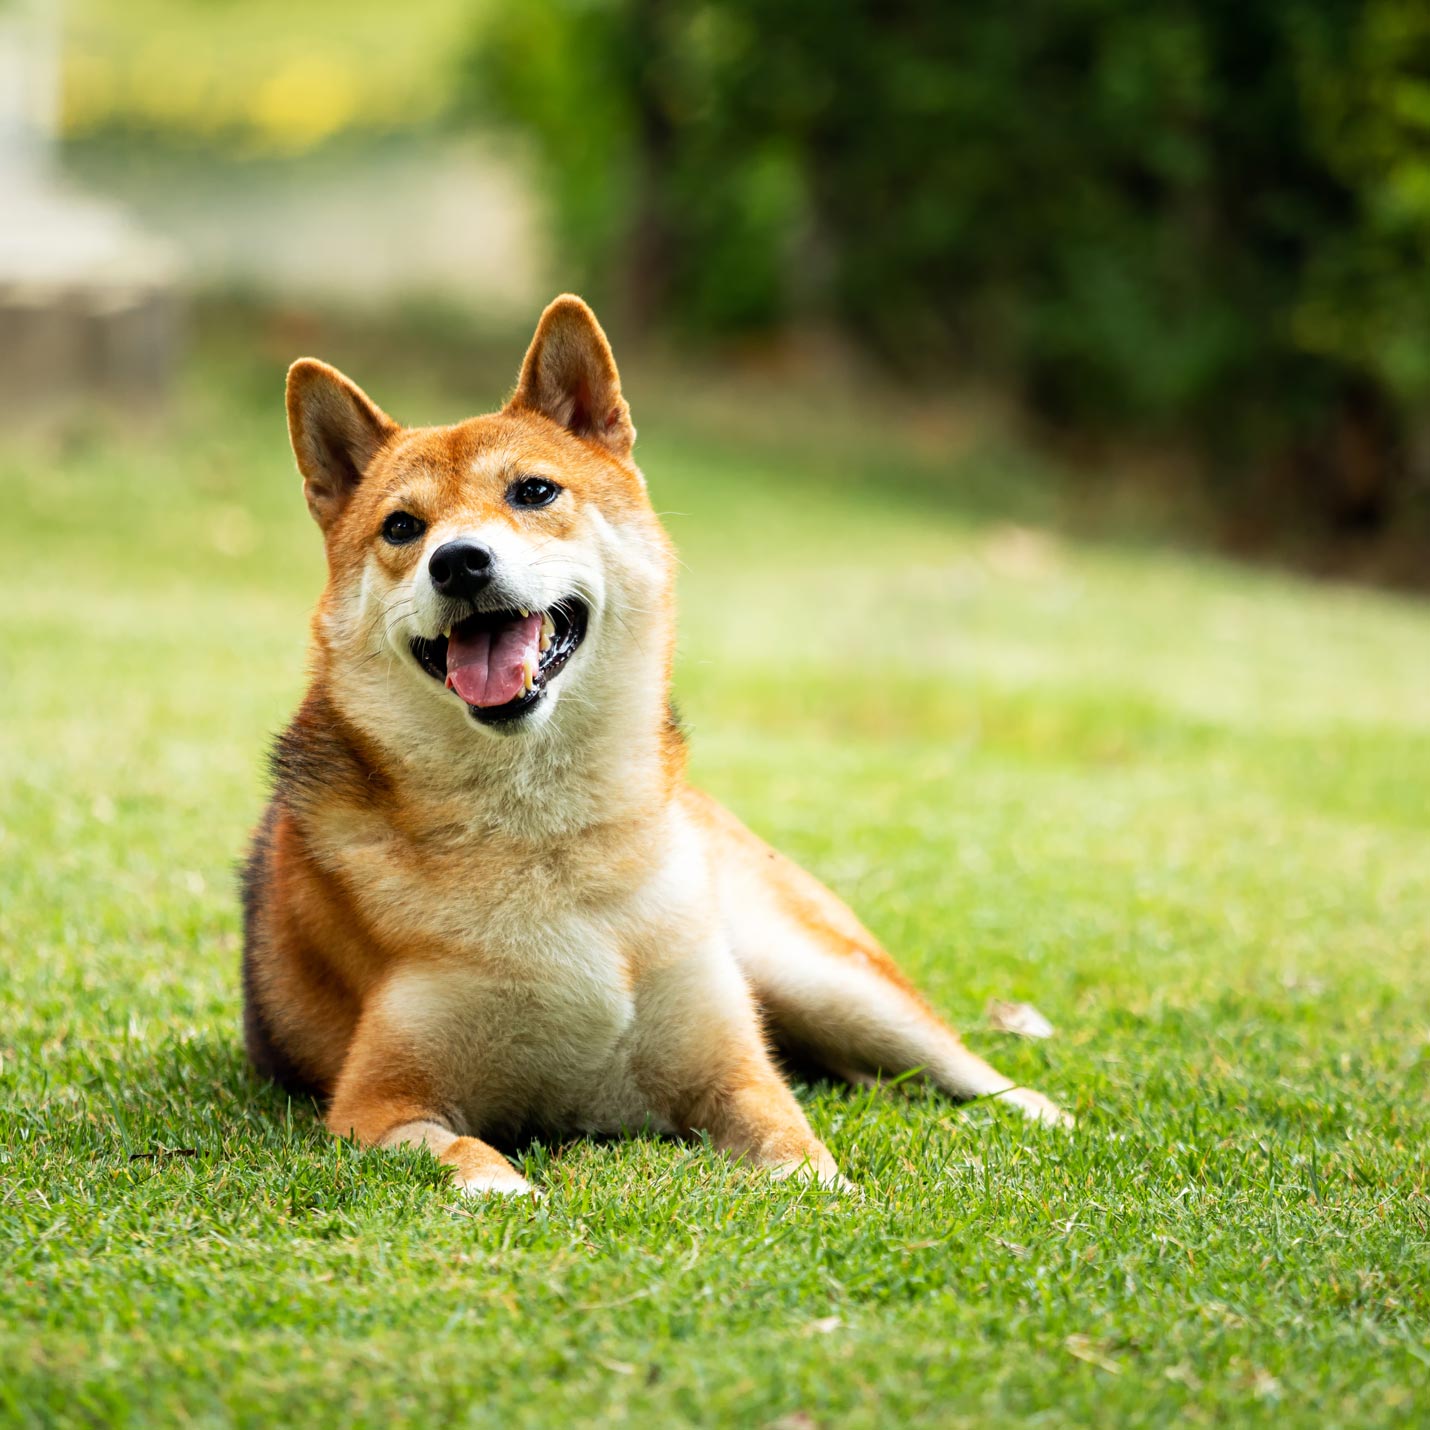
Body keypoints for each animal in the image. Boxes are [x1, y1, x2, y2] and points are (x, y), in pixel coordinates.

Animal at [243, 293, 1075, 1195]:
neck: (548, 839)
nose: (458, 561)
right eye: (402, 526)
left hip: (820, 977)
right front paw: (518, 1195)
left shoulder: (736, 1076)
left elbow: (804, 1157)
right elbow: (475, 1163)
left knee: (964, 1069)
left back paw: (1051, 1118)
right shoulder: (379, 1105)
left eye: (534, 491)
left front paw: (832, 1194)